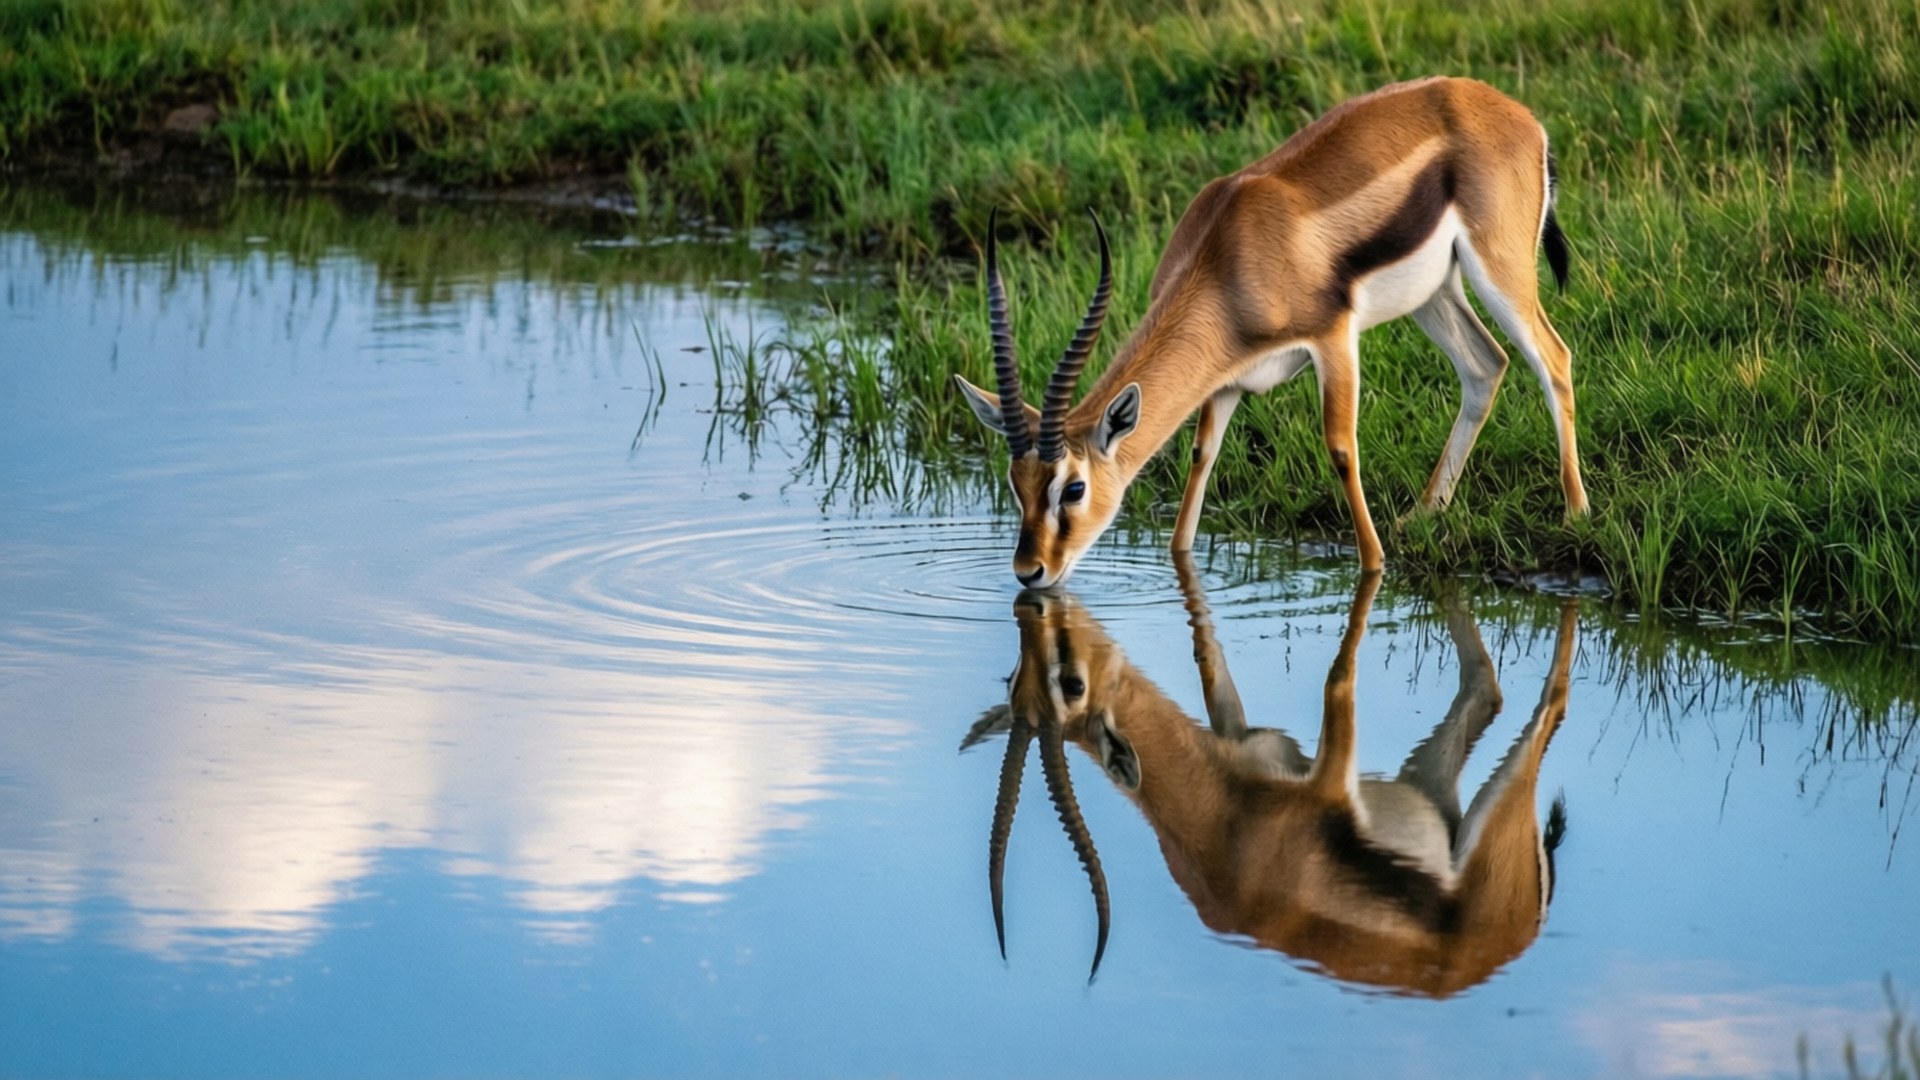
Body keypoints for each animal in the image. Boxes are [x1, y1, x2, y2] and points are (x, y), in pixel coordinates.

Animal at [955, 78, 1589, 588]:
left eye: (1073, 488)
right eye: (1015, 484)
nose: (1030, 571)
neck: (1228, 256)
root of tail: (1518, 114)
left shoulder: (1333, 338)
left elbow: (1341, 448)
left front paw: (1375, 565)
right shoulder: (1227, 381)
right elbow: (1201, 459)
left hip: (1499, 272)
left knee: (1554, 358)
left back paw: (1576, 516)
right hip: (1433, 296)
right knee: (1486, 366)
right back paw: (1424, 515)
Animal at [965, 562, 1576, 994]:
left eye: (1072, 685)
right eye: (1014, 679)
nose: (1043, 595)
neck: (1226, 829)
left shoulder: (1328, 774)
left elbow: (1338, 681)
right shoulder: (1251, 737)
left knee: (1549, 703)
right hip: (1431, 791)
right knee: (1485, 692)